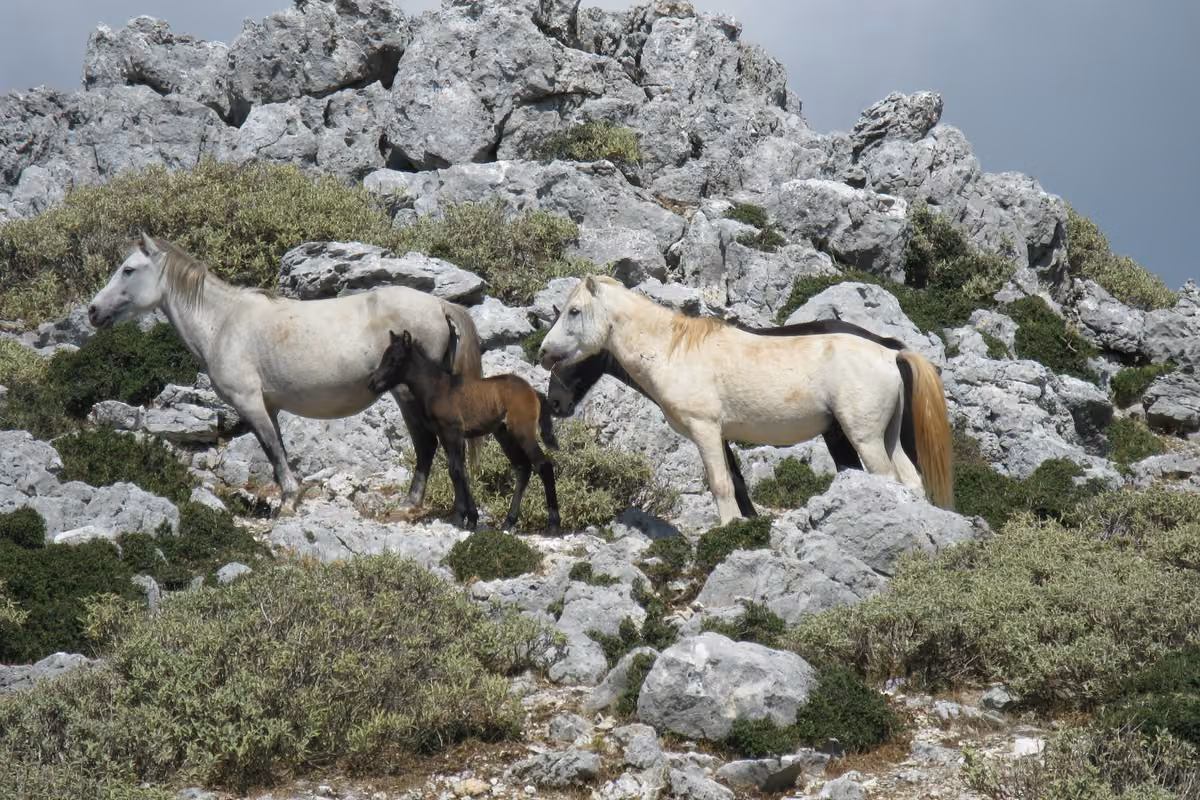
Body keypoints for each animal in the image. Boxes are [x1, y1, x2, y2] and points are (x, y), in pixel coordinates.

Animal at [86, 233, 484, 515]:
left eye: (128, 269)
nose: (93, 311)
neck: (223, 323)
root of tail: (440, 304)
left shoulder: (249, 403)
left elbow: (273, 452)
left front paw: (289, 501)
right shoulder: (271, 407)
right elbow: (279, 448)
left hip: (407, 394)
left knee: (428, 444)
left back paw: (412, 504)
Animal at [367, 326, 561, 536]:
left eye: (395, 359)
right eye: (384, 356)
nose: (372, 383)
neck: (437, 388)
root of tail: (533, 392)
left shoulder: (452, 434)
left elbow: (455, 471)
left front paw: (460, 517)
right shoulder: (447, 437)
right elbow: (459, 471)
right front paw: (471, 519)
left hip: (522, 432)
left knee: (543, 465)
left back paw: (554, 524)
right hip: (504, 435)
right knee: (523, 468)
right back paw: (508, 522)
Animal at [537, 275, 953, 525]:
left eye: (574, 311)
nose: (543, 353)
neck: (674, 351)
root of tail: (889, 353)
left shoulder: (706, 429)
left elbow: (720, 483)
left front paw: (727, 529)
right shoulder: (720, 435)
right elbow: (735, 480)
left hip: (863, 437)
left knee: (886, 479)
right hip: (888, 436)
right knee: (910, 480)